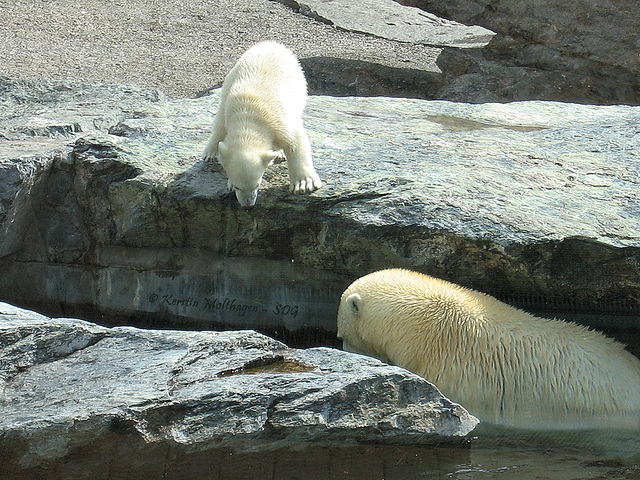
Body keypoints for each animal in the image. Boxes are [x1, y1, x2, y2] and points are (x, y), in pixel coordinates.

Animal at [202, 41, 322, 206]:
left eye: (257, 184)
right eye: (238, 186)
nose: (248, 205)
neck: (249, 116)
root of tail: (269, 43)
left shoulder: (280, 121)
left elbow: (296, 141)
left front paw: (303, 184)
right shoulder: (230, 109)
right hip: (229, 80)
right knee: (219, 122)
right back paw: (211, 153)